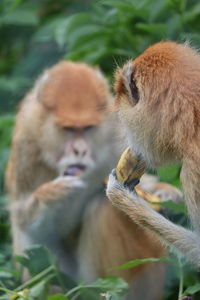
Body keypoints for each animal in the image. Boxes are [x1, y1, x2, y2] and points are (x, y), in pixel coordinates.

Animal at [5, 59, 182, 298]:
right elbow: (24, 219)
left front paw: (167, 193)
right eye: (68, 129)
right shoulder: (27, 141)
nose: (80, 151)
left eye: (88, 128)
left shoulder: (116, 129)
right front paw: (54, 194)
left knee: (104, 206)